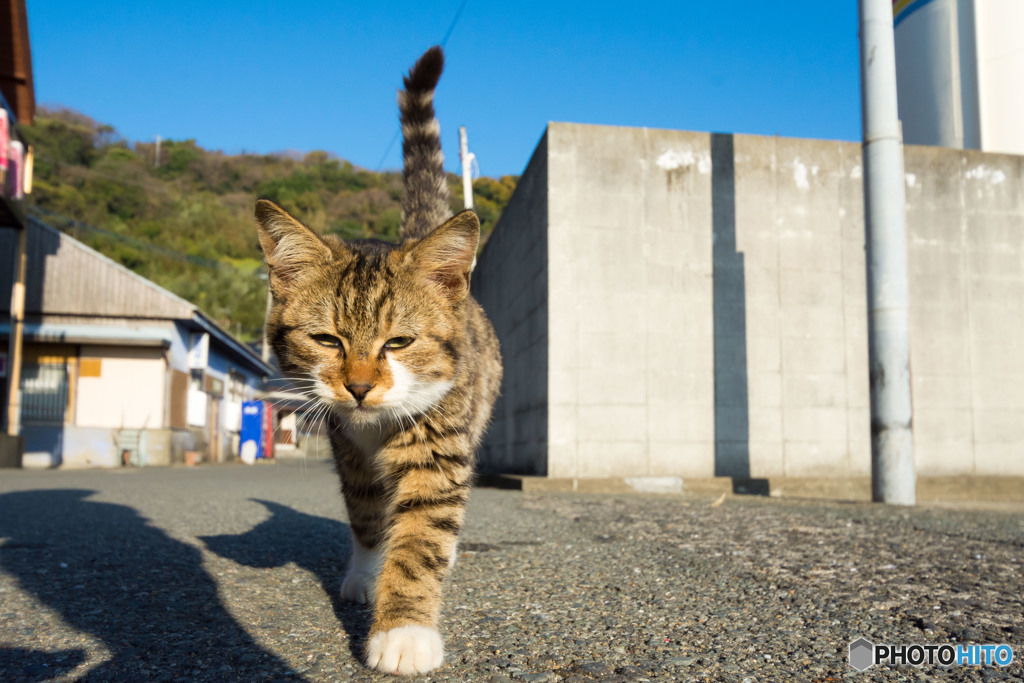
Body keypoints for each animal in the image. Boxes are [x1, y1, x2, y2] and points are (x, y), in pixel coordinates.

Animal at [251, 46, 499, 671]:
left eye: (399, 343)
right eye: (327, 340)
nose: (360, 387)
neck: (377, 425)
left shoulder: (439, 441)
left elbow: (421, 538)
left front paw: (404, 631)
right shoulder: (348, 449)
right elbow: (366, 516)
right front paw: (368, 578)